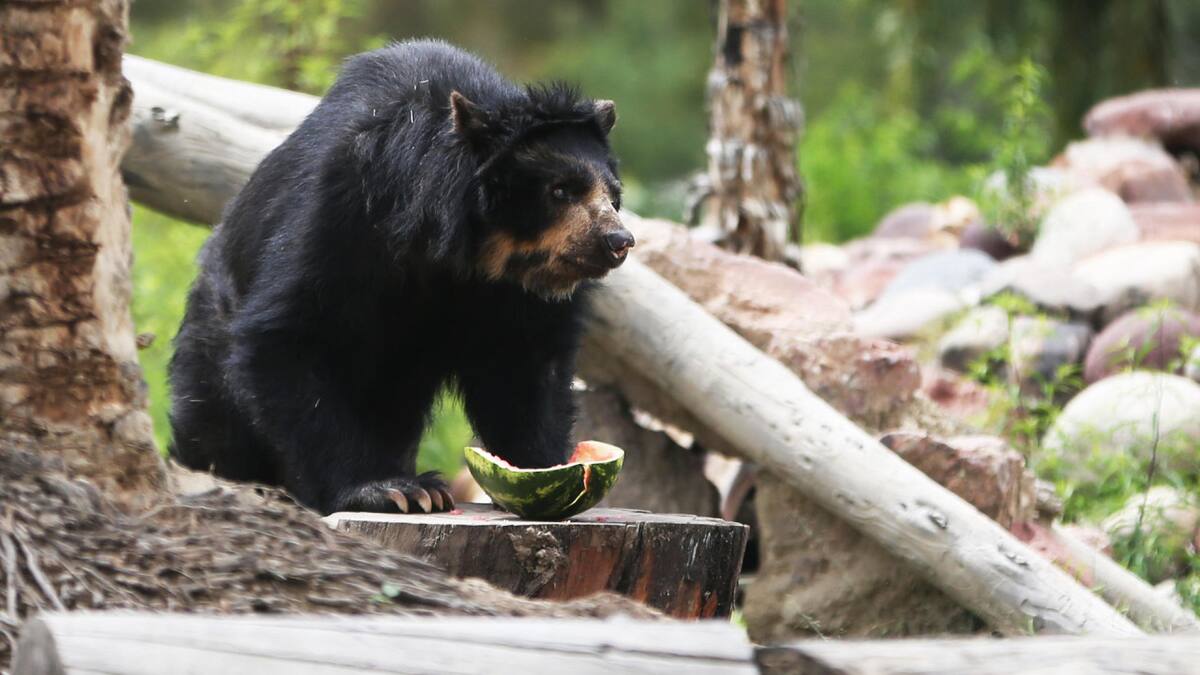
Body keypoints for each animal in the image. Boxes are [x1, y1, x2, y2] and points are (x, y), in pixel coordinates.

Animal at [167, 40, 633, 516]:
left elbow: (528, 364)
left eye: (613, 195)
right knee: (216, 425)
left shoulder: (514, 294)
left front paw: (544, 468)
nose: (618, 241)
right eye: (561, 190)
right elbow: (289, 334)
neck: (463, 251)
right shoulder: (341, 212)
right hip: (213, 332)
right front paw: (389, 489)